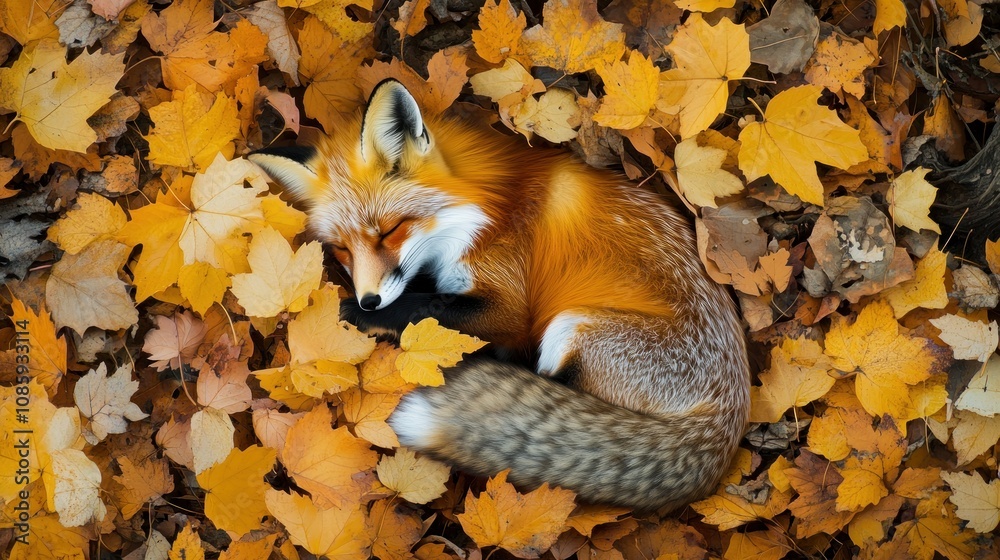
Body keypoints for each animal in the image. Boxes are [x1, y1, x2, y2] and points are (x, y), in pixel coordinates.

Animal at [247, 79, 750, 511]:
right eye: (341, 250)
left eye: (389, 231)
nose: (370, 300)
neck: (486, 210)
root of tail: (724, 427)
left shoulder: (511, 305)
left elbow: (428, 306)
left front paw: (358, 313)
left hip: (572, 326)